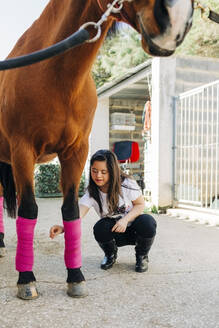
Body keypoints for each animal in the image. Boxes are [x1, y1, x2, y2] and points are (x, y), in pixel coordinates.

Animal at [0, 0, 193, 298]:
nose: (177, 20)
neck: (52, 77)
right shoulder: (23, 151)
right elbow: (29, 210)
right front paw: (26, 281)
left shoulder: (76, 152)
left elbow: (70, 211)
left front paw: (75, 277)